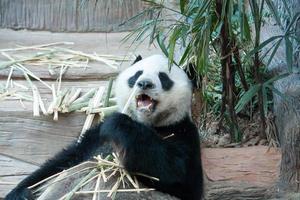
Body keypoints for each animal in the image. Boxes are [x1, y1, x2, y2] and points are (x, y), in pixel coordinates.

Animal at [5, 54, 204, 200]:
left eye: (164, 78)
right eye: (136, 75)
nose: (144, 83)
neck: (145, 123)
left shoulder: (181, 132)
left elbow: (178, 172)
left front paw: (118, 123)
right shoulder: (94, 137)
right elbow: (63, 161)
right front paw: (20, 193)